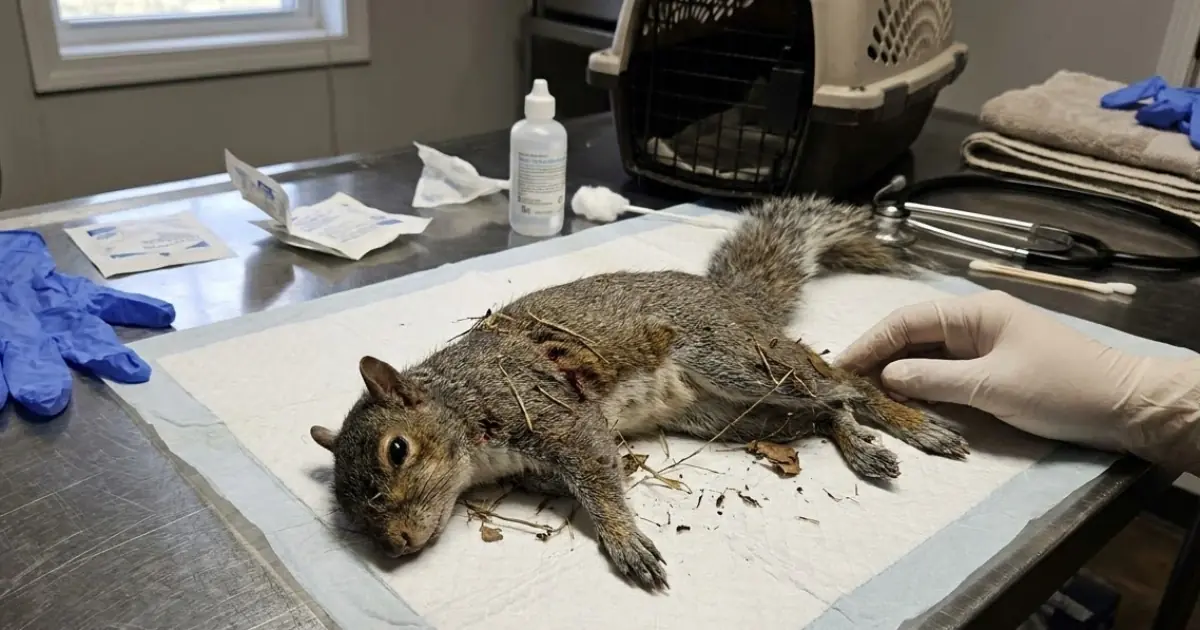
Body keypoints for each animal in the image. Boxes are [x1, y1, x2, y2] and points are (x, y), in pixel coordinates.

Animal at [309, 195, 970, 591]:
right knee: (820, 414)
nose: (396, 545)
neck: (463, 405)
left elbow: (599, 480)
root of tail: (733, 300)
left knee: (842, 387)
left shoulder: (555, 416)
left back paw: (906, 429)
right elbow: (599, 474)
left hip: (737, 362)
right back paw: (863, 445)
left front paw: (625, 542)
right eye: (347, 506)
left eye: (398, 450)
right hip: (733, 416)